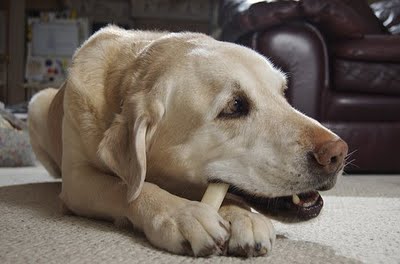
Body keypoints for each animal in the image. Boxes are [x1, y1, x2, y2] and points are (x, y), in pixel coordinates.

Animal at [27, 26, 346, 258]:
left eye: (283, 92)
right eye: (234, 106)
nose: (338, 154)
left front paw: (242, 216)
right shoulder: (76, 180)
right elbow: (125, 187)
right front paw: (181, 215)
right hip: (36, 104)